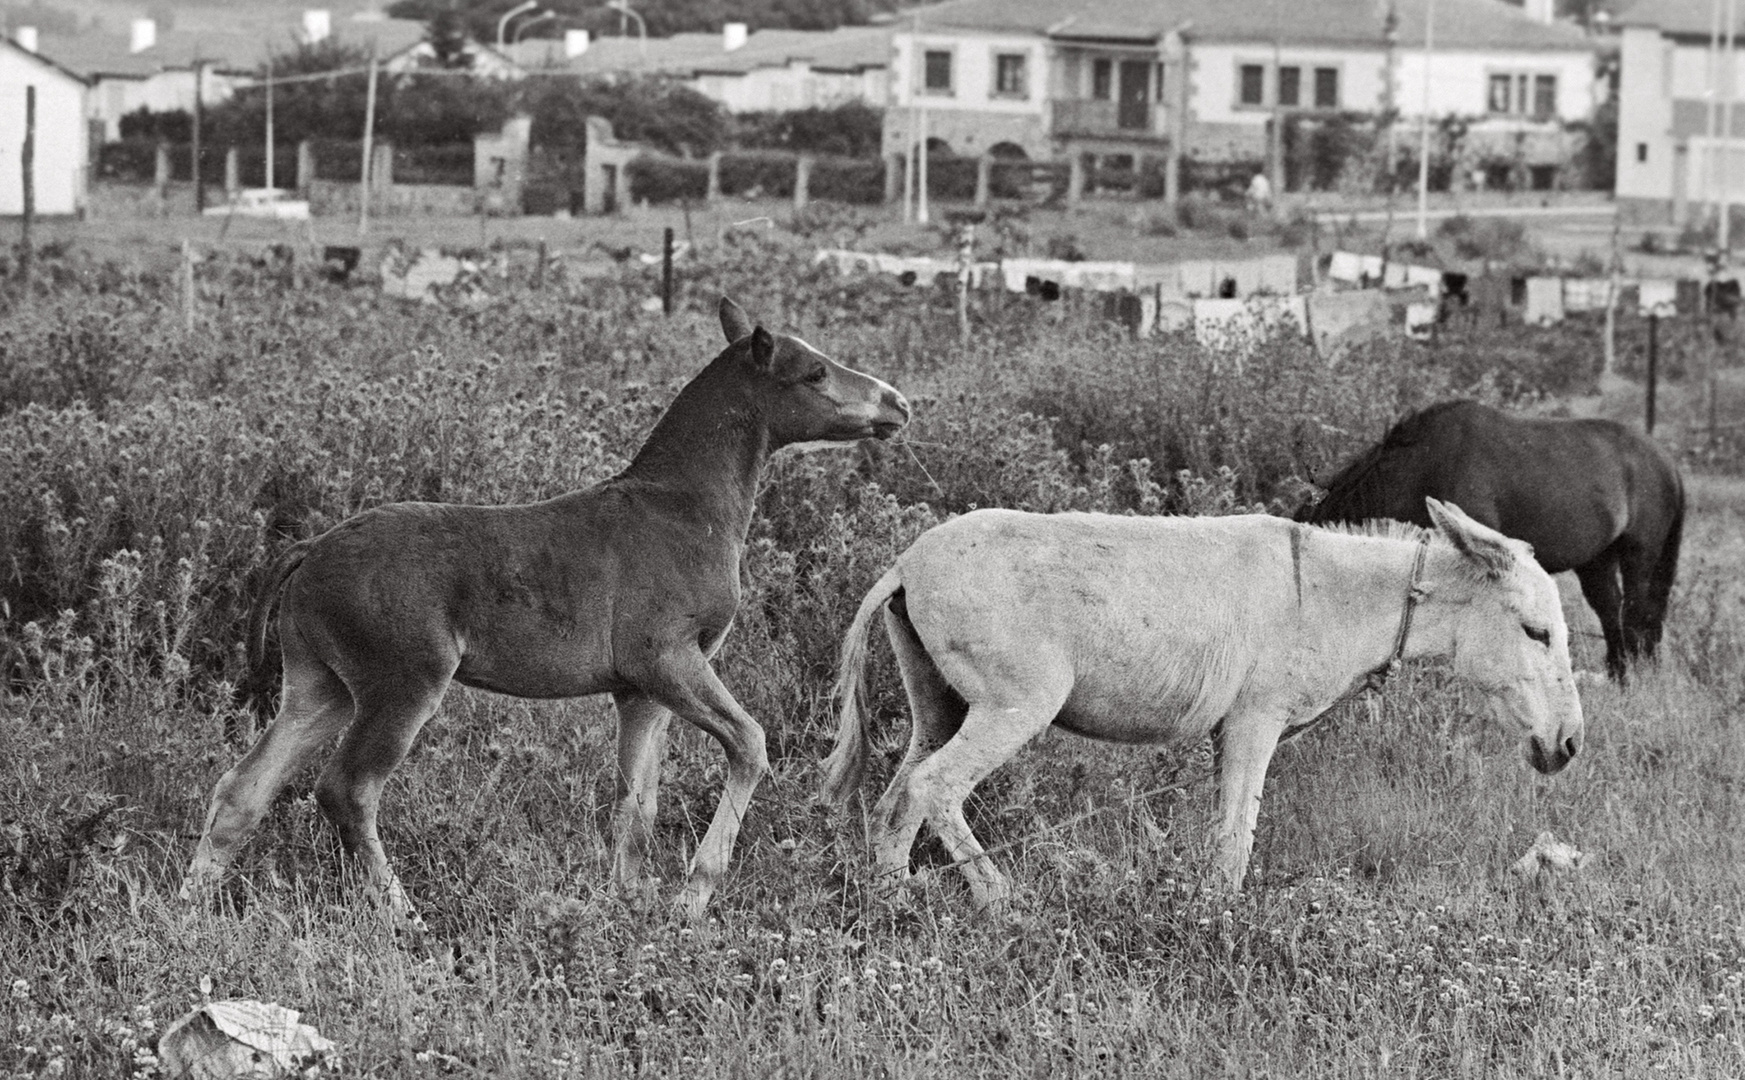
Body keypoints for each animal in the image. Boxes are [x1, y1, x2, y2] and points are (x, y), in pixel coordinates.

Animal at [1305, 401, 1682, 680]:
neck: (1426, 464)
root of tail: (1666, 462)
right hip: (1597, 562)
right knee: (1610, 610)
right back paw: (1619, 675)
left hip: (1638, 556)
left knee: (1635, 613)